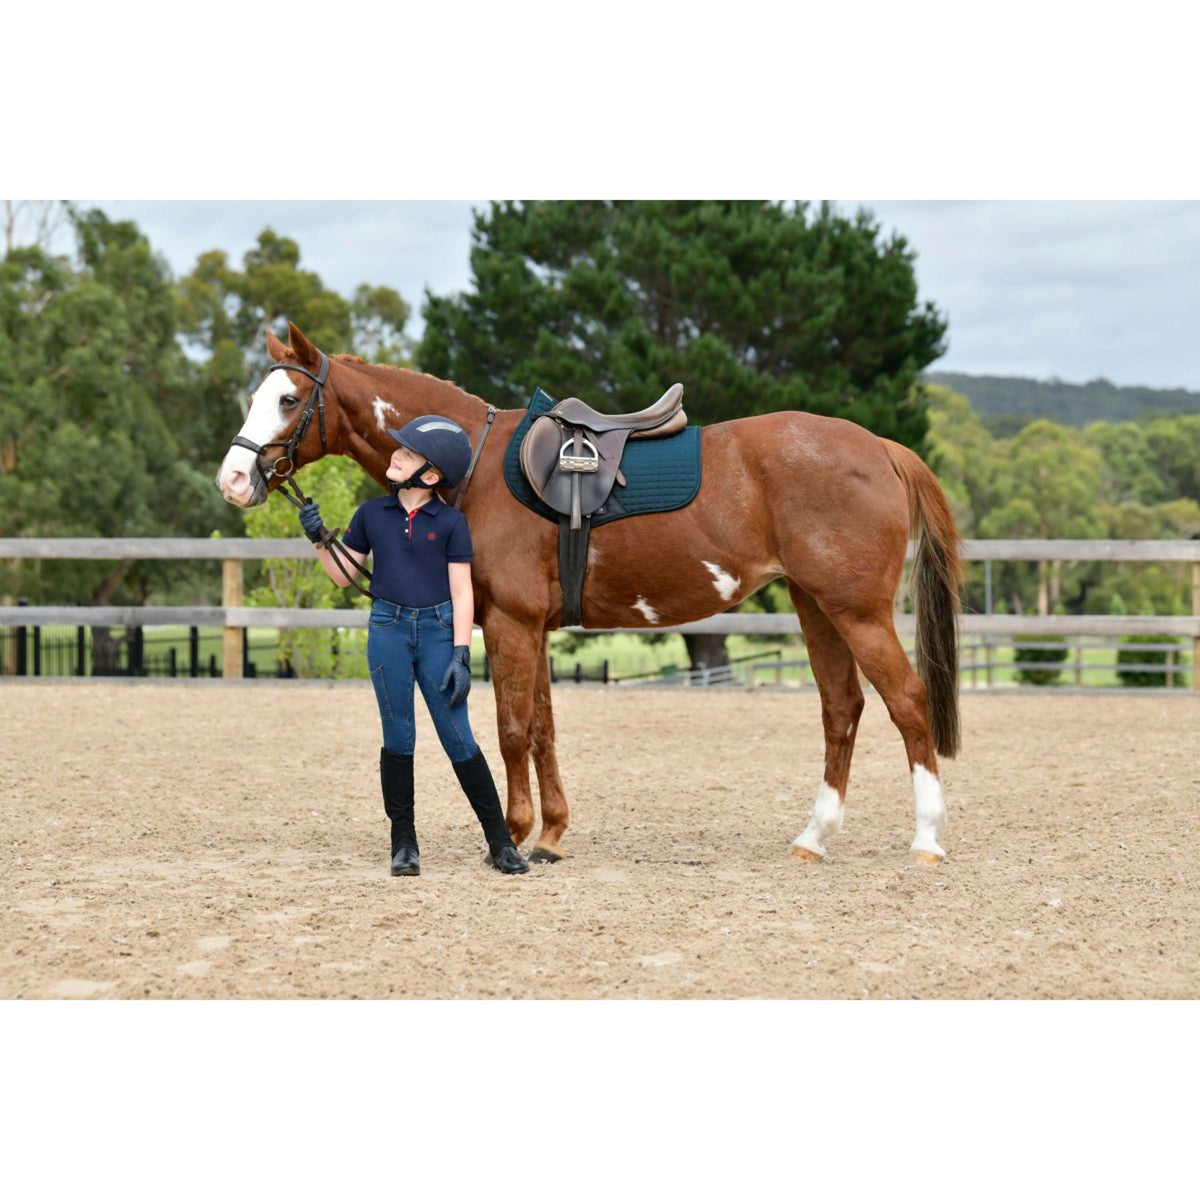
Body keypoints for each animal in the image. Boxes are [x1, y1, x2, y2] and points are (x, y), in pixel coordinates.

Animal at [218, 319, 964, 864]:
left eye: (288, 400)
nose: (232, 479)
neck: (473, 466)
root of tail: (880, 447)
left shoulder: (511, 623)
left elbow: (512, 730)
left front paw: (514, 835)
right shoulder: (530, 627)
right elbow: (544, 729)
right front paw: (550, 835)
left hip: (857, 612)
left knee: (907, 702)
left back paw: (926, 838)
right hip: (817, 609)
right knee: (842, 710)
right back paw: (814, 837)